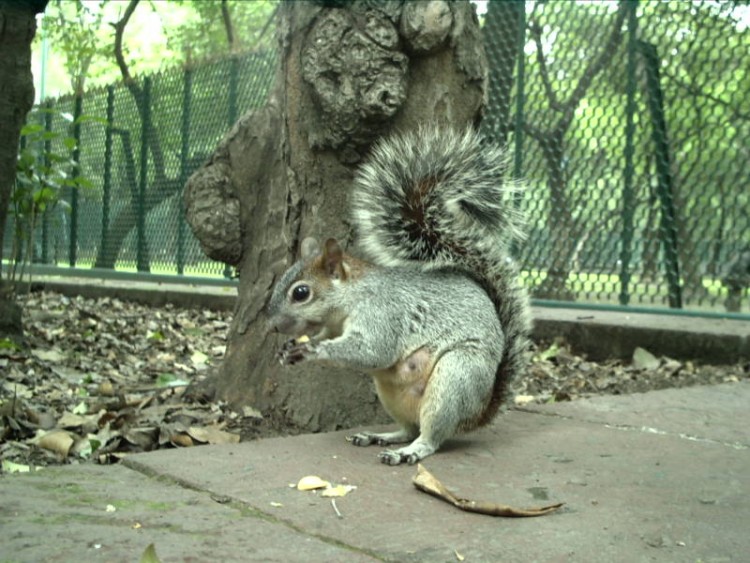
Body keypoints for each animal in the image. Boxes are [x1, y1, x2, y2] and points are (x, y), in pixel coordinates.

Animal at [268, 125, 532, 464]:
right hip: (391, 395)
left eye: (301, 293)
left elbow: (373, 350)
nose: (274, 325)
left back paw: (409, 452)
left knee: (430, 437)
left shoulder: (383, 313)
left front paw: (313, 349)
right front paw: (290, 348)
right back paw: (381, 436)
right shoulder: (335, 325)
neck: (351, 299)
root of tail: (477, 413)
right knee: (409, 427)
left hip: (454, 378)